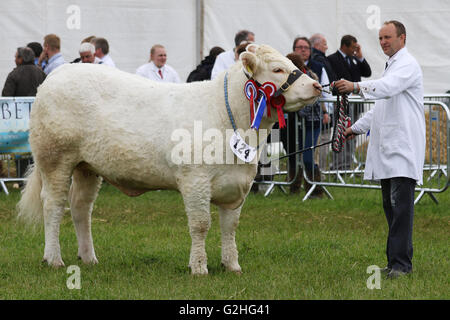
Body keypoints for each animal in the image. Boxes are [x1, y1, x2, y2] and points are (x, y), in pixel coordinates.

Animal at [16, 44, 320, 276]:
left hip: (87, 167)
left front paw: (232, 265)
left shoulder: (236, 184)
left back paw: (89, 257)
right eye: (277, 69)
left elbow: (230, 226)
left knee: (81, 208)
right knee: (54, 206)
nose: (317, 85)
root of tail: (56, 75)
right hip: (55, 158)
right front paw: (199, 267)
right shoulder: (195, 180)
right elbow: (200, 225)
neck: (227, 117)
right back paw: (54, 258)